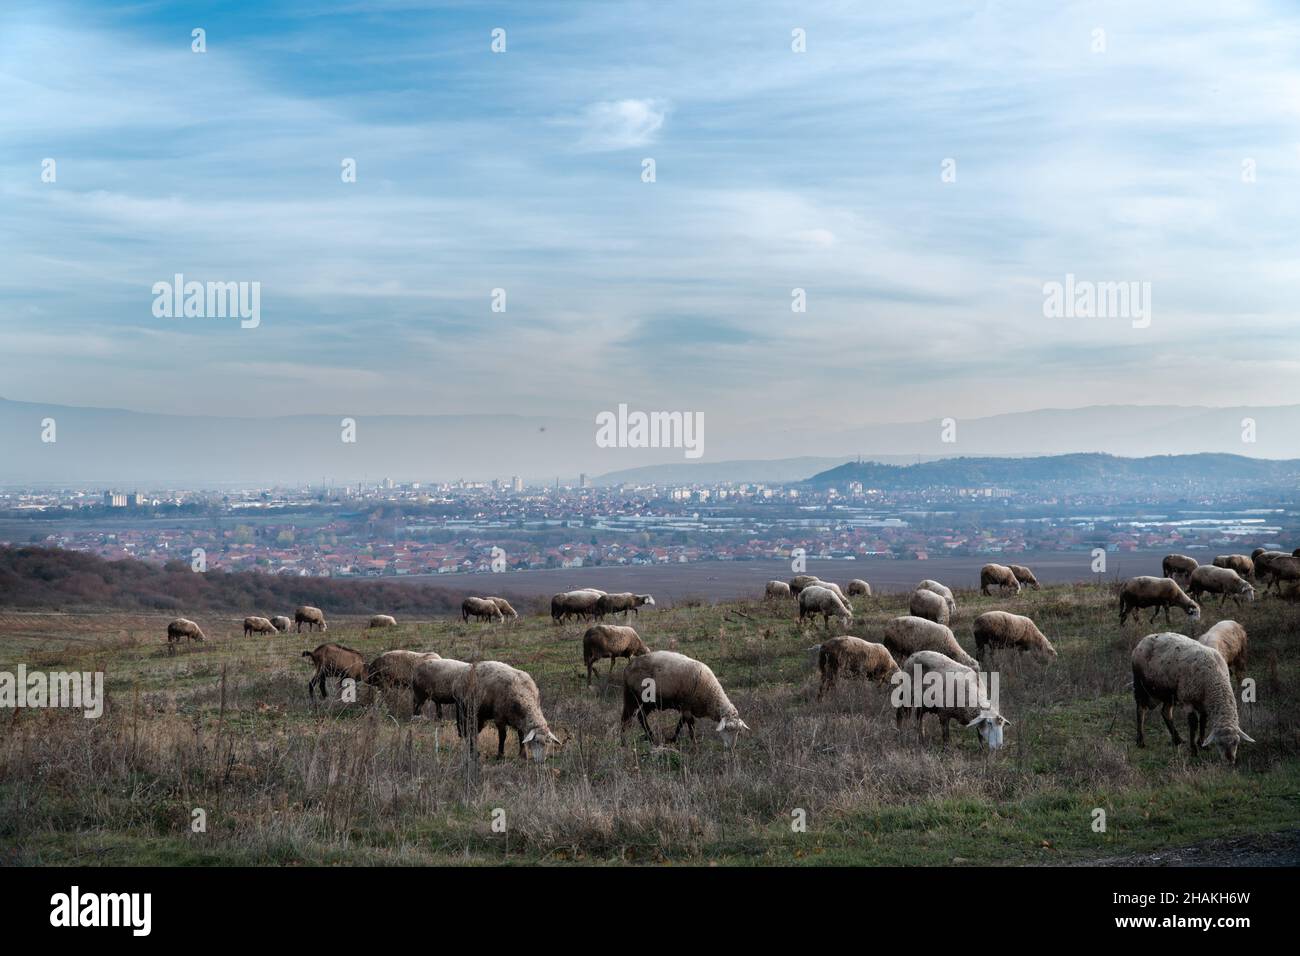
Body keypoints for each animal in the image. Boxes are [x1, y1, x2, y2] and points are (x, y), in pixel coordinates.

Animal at [620, 650, 750, 748]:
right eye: (727, 729)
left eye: (738, 731)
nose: (731, 748)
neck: (710, 693)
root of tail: (628, 666)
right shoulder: (686, 707)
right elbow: (691, 727)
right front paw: (695, 746)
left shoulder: (687, 707)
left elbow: (680, 724)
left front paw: (673, 739)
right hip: (632, 697)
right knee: (625, 719)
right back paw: (624, 742)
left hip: (650, 702)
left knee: (641, 716)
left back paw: (651, 738)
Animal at [1132, 631, 1255, 764]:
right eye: (1219, 743)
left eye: (1236, 742)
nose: (1230, 761)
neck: (1214, 680)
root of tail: (1144, 639)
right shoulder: (1187, 700)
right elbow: (1193, 723)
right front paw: (1194, 750)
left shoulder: (1204, 702)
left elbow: (1204, 720)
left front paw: (1201, 744)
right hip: (1140, 684)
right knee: (1141, 710)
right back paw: (1140, 741)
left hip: (1171, 692)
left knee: (1165, 712)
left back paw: (1177, 740)